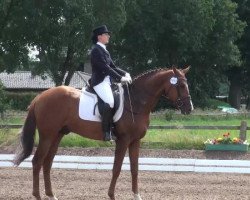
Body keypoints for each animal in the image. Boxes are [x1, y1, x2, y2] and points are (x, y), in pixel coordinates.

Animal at [13, 67, 192, 200]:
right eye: (181, 86)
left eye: (186, 84)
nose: (189, 108)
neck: (136, 101)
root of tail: (40, 96)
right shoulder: (123, 140)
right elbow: (117, 168)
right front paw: (111, 195)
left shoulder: (135, 141)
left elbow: (135, 168)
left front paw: (137, 195)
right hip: (47, 136)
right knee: (37, 161)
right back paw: (38, 195)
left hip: (57, 135)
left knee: (47, 163)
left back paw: (51, 195)